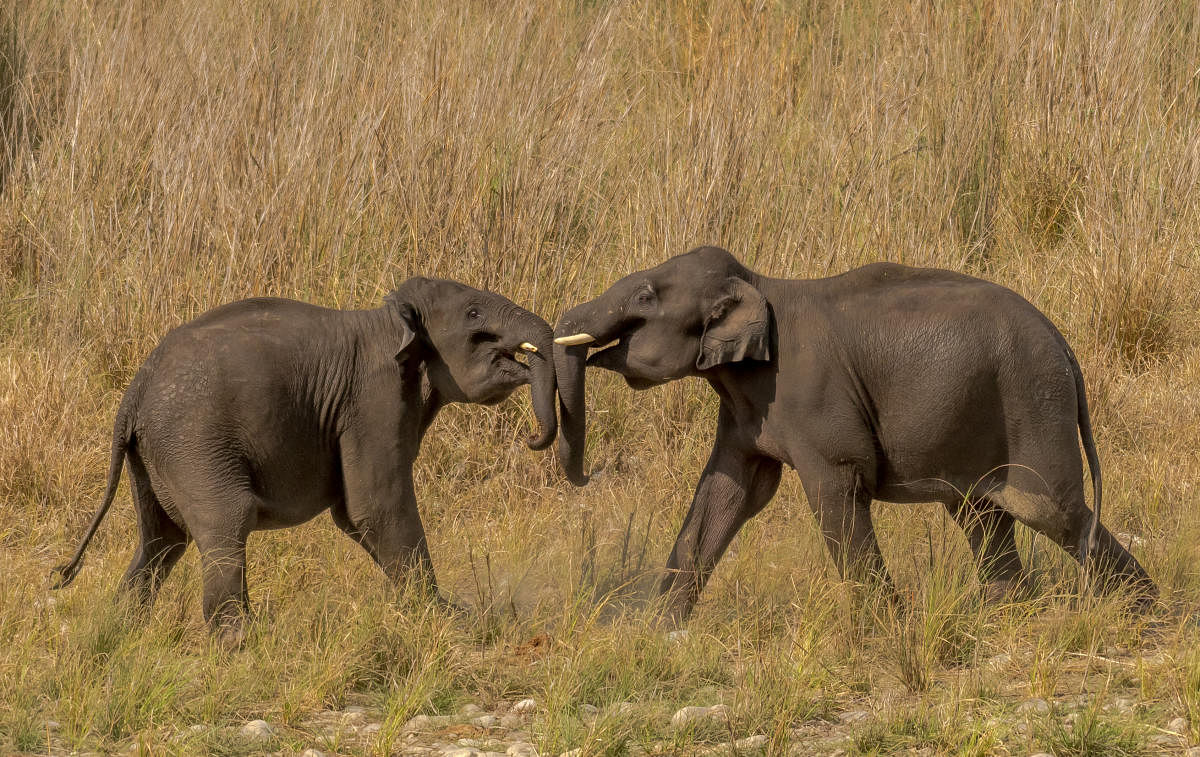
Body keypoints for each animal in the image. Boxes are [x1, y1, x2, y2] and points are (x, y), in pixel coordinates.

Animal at [54, 278, 559, 638]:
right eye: (474, 314)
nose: (532, 438)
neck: (388, 319)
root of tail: (133, 394)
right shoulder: (372, 399)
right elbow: (374, 507)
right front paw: (449, 620)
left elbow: (354, 516)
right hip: (192, 441)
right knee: (224, 519)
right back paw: (242, 640)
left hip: (154, 456)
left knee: (161, 539)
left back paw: (121, 632)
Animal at [549, 245, 1152, 623]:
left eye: (646, 298)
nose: (587, 473)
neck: (758, 283)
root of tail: (1066, 348)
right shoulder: (745, 410)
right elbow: (729, 494)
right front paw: (657, 632)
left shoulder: (812, 400)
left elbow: (834, 490)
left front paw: (886, 629)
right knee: (982, 514)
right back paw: (1009, 614)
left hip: (1031, 403)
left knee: (1050, 510)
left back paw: (1140, 610)